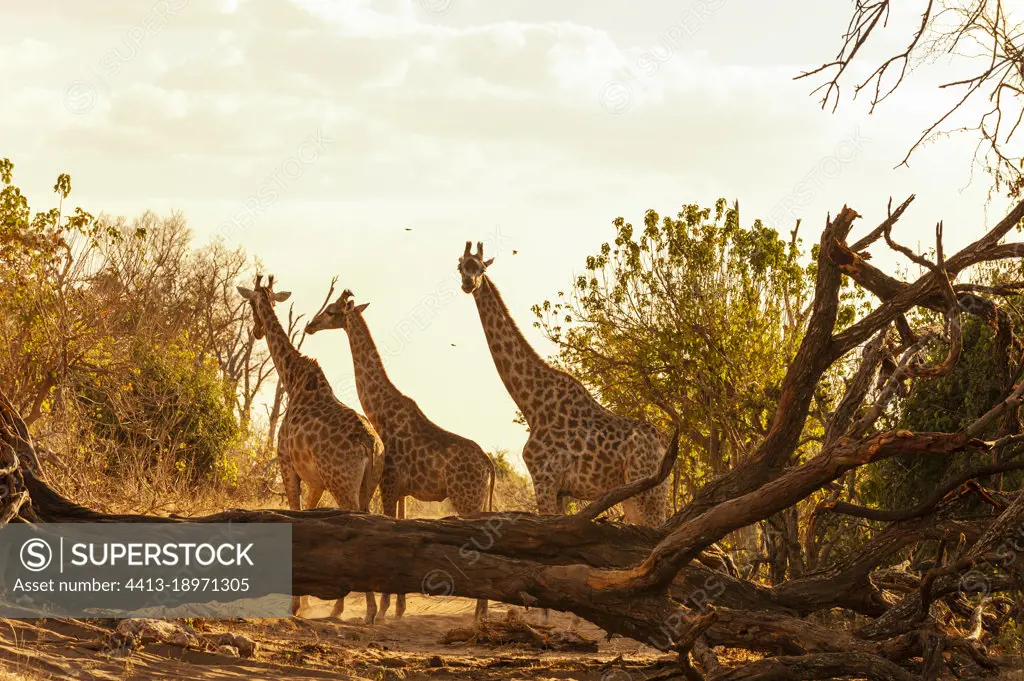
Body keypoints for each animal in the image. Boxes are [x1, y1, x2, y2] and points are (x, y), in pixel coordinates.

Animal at [235, 272, 385, 622]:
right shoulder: (316, 480)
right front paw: (304, 601)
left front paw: (294, 603)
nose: (256, 330)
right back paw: (358, 608)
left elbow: (294, 516)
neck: (292, 380)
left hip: (344, 485)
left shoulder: (287, 465)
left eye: (251, 304)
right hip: (366, 485)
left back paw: (367, 610)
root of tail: (370, 445)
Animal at [303, 286, 495, 622]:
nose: (310, 326)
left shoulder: (389, 484)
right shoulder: (401, 489)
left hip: (467, 499)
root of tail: (487, 463)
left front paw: (381, 611)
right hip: (477, 500)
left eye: (330, 311)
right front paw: (396, 609)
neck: (380, 411)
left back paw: (479, 615)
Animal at [456, 238, 671, 622]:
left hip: (645, 493)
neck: (532, 403)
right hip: (644, 495)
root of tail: (663, 443)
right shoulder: (562, 491)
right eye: (458, 266)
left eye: (479, 267)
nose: (468, 284)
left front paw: (548, 622)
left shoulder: (544, 480)